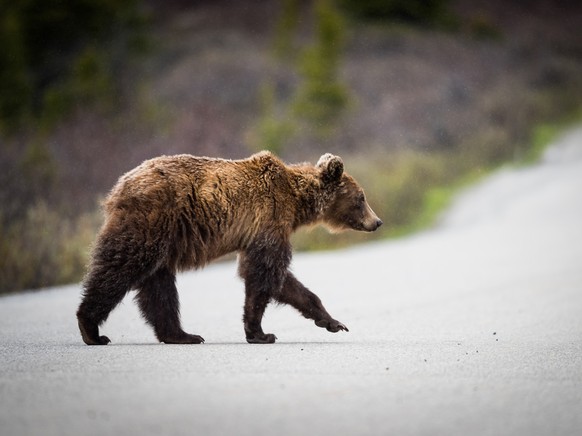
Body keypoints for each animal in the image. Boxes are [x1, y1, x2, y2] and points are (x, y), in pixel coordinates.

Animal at [77, 152, 384, 346]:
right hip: (151, 221)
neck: (297, 202)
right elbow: (266, 274)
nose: (377, 221)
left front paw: (333, 322)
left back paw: (182, 335)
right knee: (121, 266)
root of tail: (117, 188)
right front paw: (261, 333)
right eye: (361, 198)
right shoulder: (269, 218)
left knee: (159, 286)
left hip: (162, 239)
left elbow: (282, 281)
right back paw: (91, 329)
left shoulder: (258, 232)